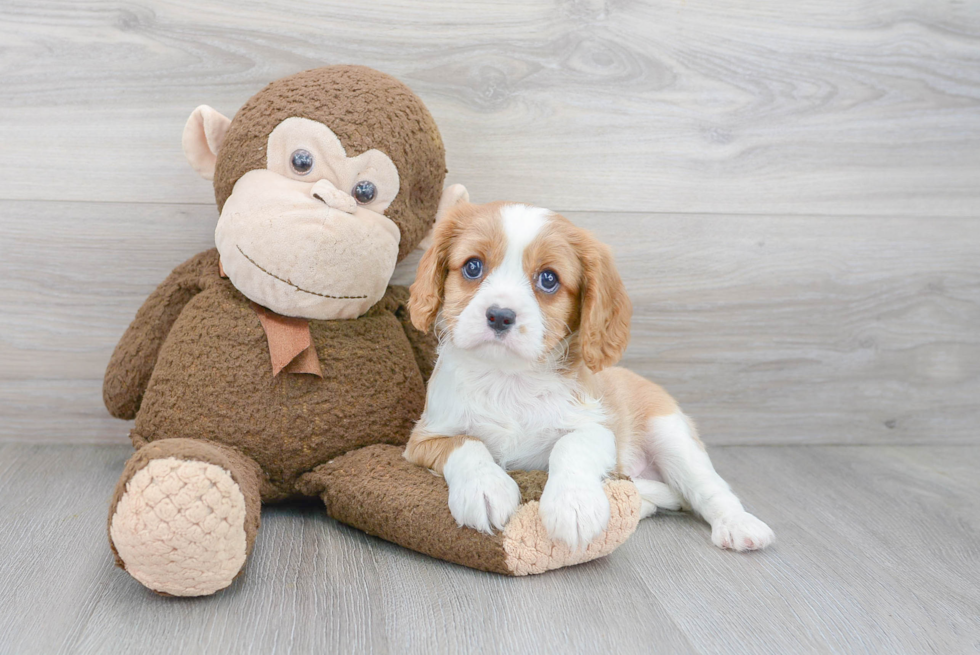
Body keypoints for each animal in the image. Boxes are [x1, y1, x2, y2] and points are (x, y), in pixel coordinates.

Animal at [404, 200, 772, 552]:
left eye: (548, 279)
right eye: (473, 266)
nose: (499, 316)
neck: (508, 379)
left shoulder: (597, 427)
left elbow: (570, 445)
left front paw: (574, 505)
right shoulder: (424, 438)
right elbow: (466, 444)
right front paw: (485, 488)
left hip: (672, 436)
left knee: (710, 488)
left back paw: (738, 524)